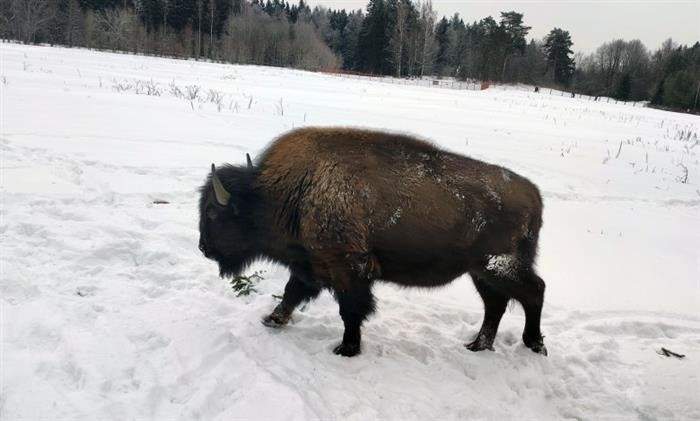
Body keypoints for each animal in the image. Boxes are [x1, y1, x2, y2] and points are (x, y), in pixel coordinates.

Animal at [197, 126, 548, 356]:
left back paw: (534, 344)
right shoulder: (311, 266)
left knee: (534, 291)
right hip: (479, 272)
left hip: (498, 267)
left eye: (213, 212)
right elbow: (291, 292)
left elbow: (351, 310)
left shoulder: (348, 270)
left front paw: (346, 348)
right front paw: (272, 320)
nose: (203, 248)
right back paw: (477, 345)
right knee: (496, 304)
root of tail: (534, 193)